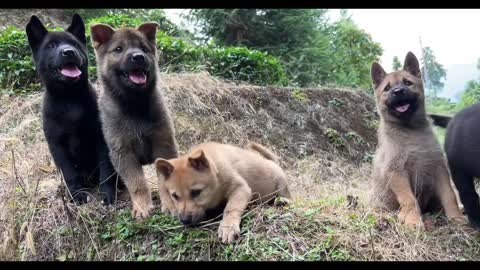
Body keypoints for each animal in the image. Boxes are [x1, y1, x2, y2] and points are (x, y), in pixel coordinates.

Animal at [25, 13, 123, 204]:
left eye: (75, 44)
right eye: (51, 45)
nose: (69, 51)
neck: (69, 98)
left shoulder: (101, 140)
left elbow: (106, 170)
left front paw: (107, 194)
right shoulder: (57, 146)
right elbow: (69, 173)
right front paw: (77, 195)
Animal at [89, 22, 178, 219]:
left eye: (144, 48)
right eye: (119, 49)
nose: (138, 57)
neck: (134, 104)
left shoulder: (164, 145)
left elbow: (166, 181)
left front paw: (170, 205)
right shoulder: (123, 153)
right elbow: (137, 184)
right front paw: (142, 207)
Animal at [154, 142, 290, 244]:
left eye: (196, 192)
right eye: (175, 196)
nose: (184, 221)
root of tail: (273, 162)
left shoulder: (241, 188)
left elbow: (231, 208)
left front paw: (228, 227)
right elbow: (163, 188)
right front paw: (168, 206)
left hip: (282, 183)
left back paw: (282, 200)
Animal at [368, 51, 464, 229]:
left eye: (407, 82)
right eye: (387, 88)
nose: (398, 91)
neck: (411, 130)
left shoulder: (439, 169)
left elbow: (449, 195)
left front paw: (456, 218)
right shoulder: (396, 172)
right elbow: (409, 199)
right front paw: (413, 222)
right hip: (379, 200)